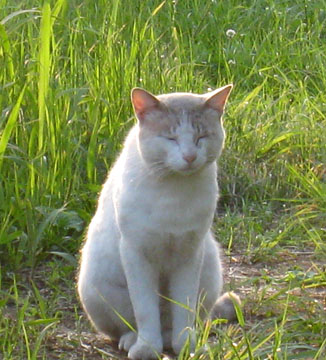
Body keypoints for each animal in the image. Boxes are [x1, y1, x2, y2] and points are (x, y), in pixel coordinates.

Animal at [76, 86, 239, 358]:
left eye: (201, 137)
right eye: (170, 138)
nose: (189, 156)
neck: (173, 194)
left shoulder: (189, 254)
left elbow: (183, 308)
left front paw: (187, 346)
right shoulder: (136, 254)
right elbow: (145, 309)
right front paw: (146, 348)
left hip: (210, 271)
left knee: (179, 322)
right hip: (94, 286)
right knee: (129, 326)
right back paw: (134, 341)